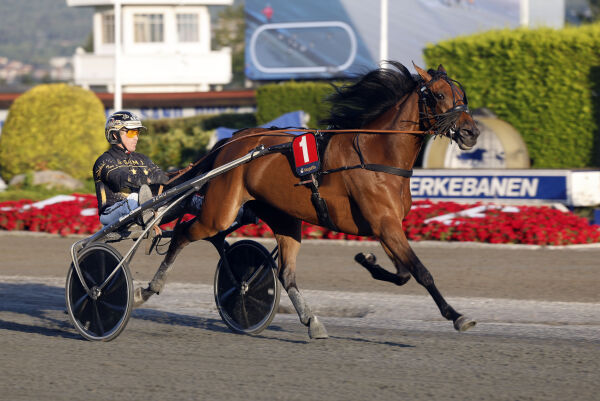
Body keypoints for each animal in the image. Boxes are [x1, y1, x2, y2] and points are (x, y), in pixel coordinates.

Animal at [135, 61, 478, 336]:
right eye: (438, 95)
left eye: (463, 95)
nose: (471, 132)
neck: (376, 155)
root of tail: (231, 141)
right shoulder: (385, 224)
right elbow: (421, 271)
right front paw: (457, 316)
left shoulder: (385, 227)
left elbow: (404, 273)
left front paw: (366, 260)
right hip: (220, 210)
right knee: (185, 232)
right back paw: (149, 288)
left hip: (283, 218)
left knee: (285, 274)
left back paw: (311, 320)